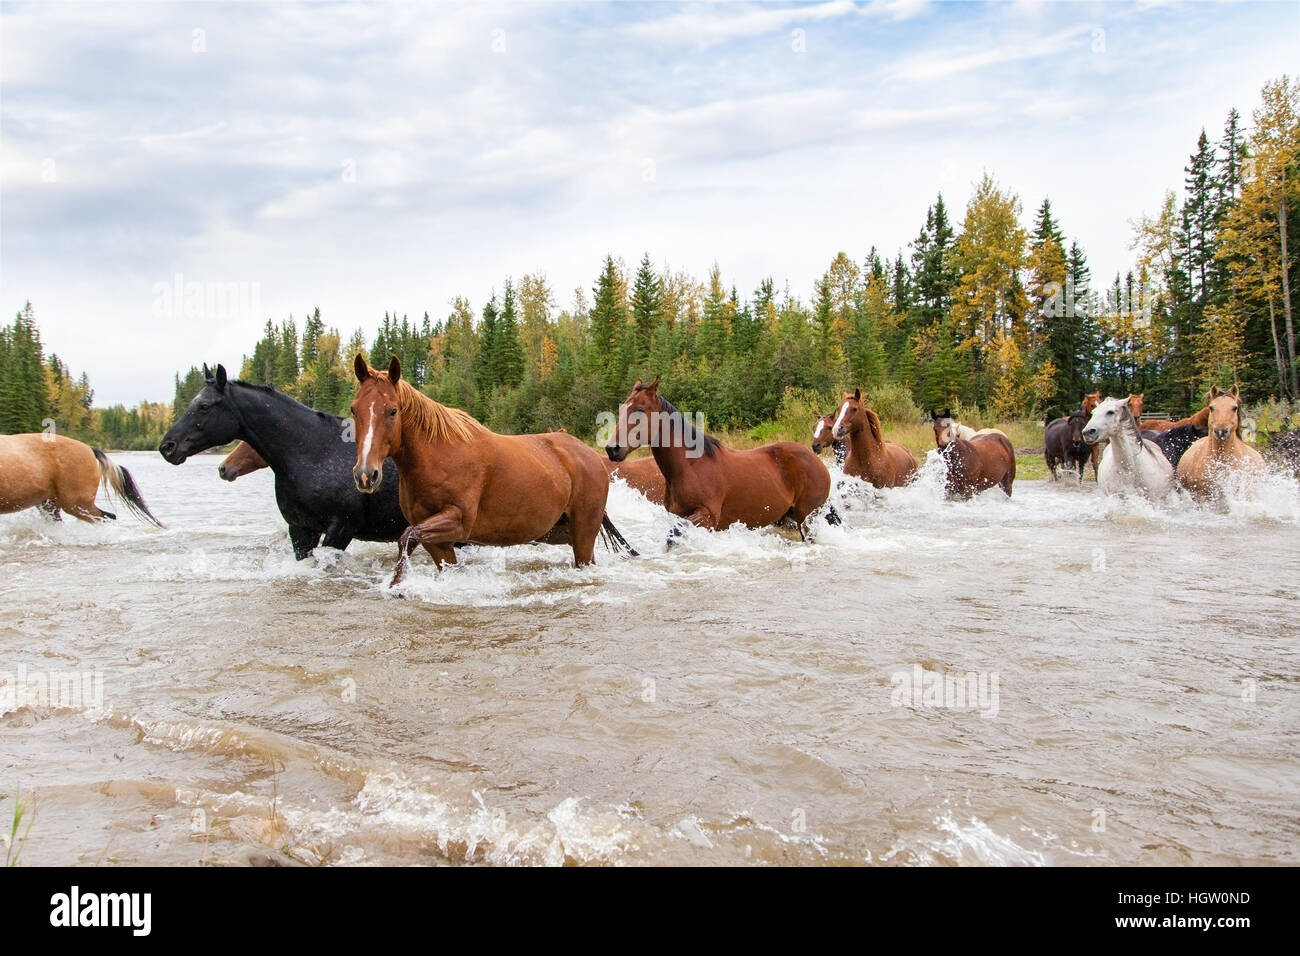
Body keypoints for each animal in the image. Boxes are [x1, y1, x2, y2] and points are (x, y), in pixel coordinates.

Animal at [345, 356, 629, 587]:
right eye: (354, 409)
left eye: (392, 411)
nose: (366, 475)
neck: (438, 455)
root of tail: (592, 456)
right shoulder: (436, 540)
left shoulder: (458, 521)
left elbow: (406, 538)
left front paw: (397, 584)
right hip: (559, 532)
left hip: (584, 532)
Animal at [603, 382, 826, 546]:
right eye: (622, 409)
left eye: (640, 410)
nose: (612, 449)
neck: (691, 466)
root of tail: (816, 460)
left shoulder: (708, 517)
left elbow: (674, 535)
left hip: (808, 520)